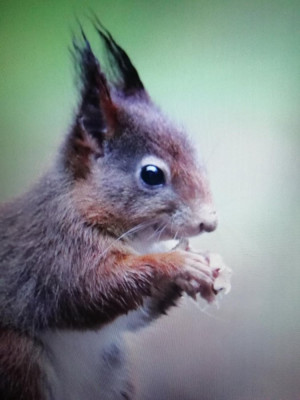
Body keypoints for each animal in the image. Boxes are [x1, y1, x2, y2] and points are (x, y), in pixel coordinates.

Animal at [0, 22, 232, 400]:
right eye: (151, 174)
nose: (209, 222)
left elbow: (135, 312)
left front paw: (207, 265)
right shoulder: (54, 253)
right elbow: (92, 291)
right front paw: (177, 263)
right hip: (17, 356)